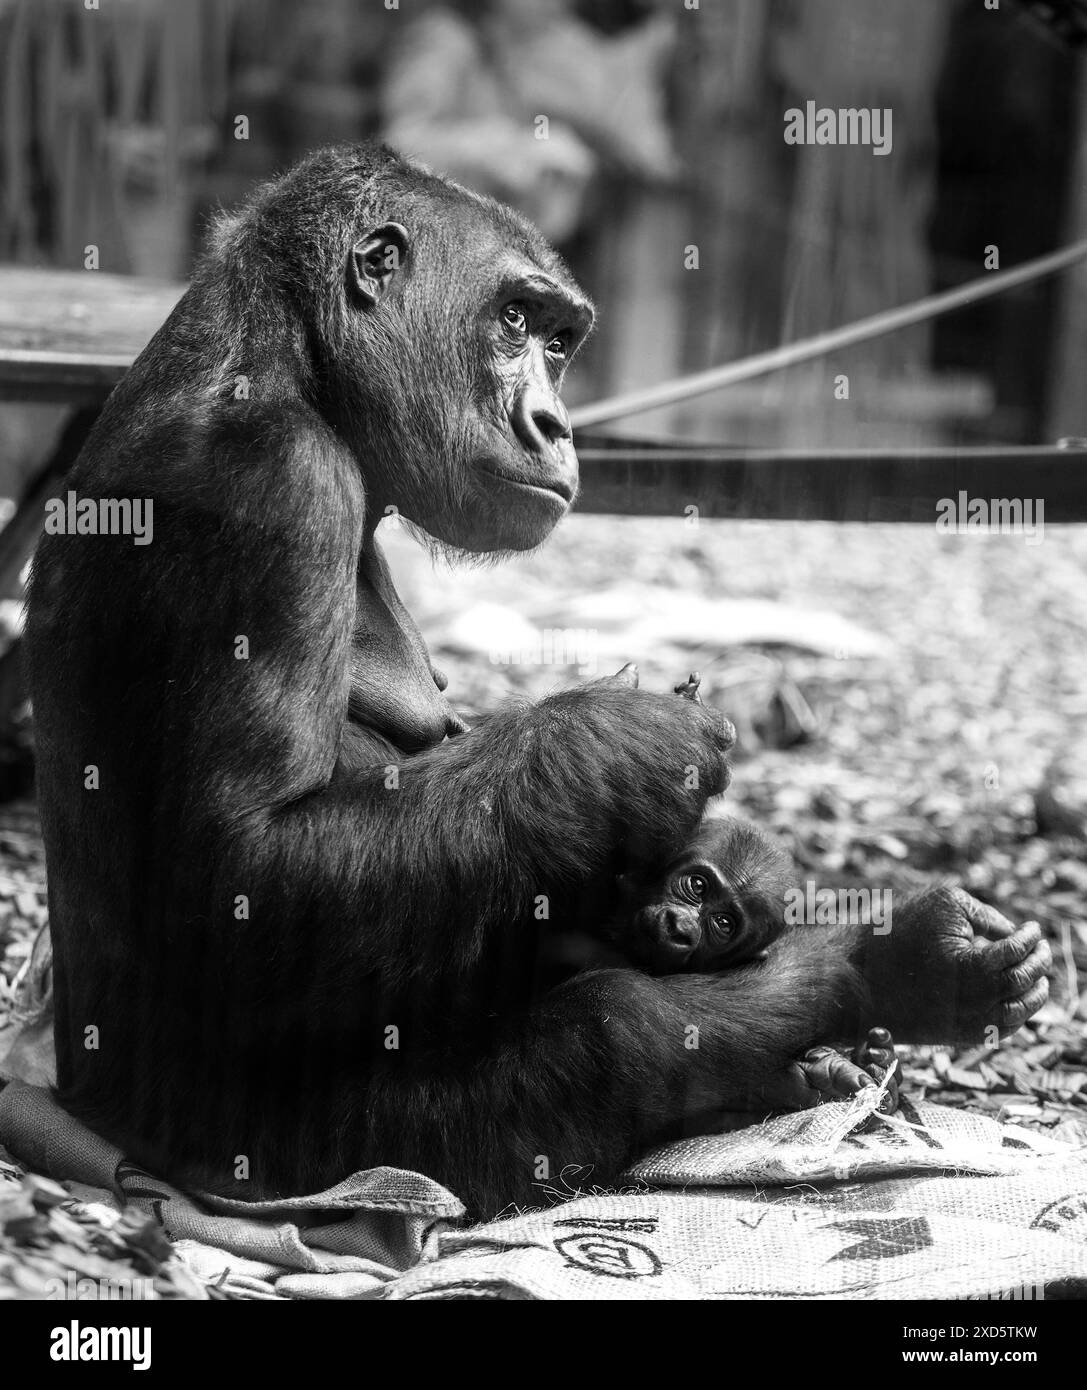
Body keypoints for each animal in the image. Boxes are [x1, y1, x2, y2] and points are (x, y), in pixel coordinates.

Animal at [23, 146, 1045, 1217]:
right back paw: (867, 976)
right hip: (286, 1159)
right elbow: (240, 870)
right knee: (617, 1027)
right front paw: (633, 739)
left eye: (558, 343)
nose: (553, 420)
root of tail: (82, 1104)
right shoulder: (274, 487)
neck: (296, 369)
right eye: (514, 321)